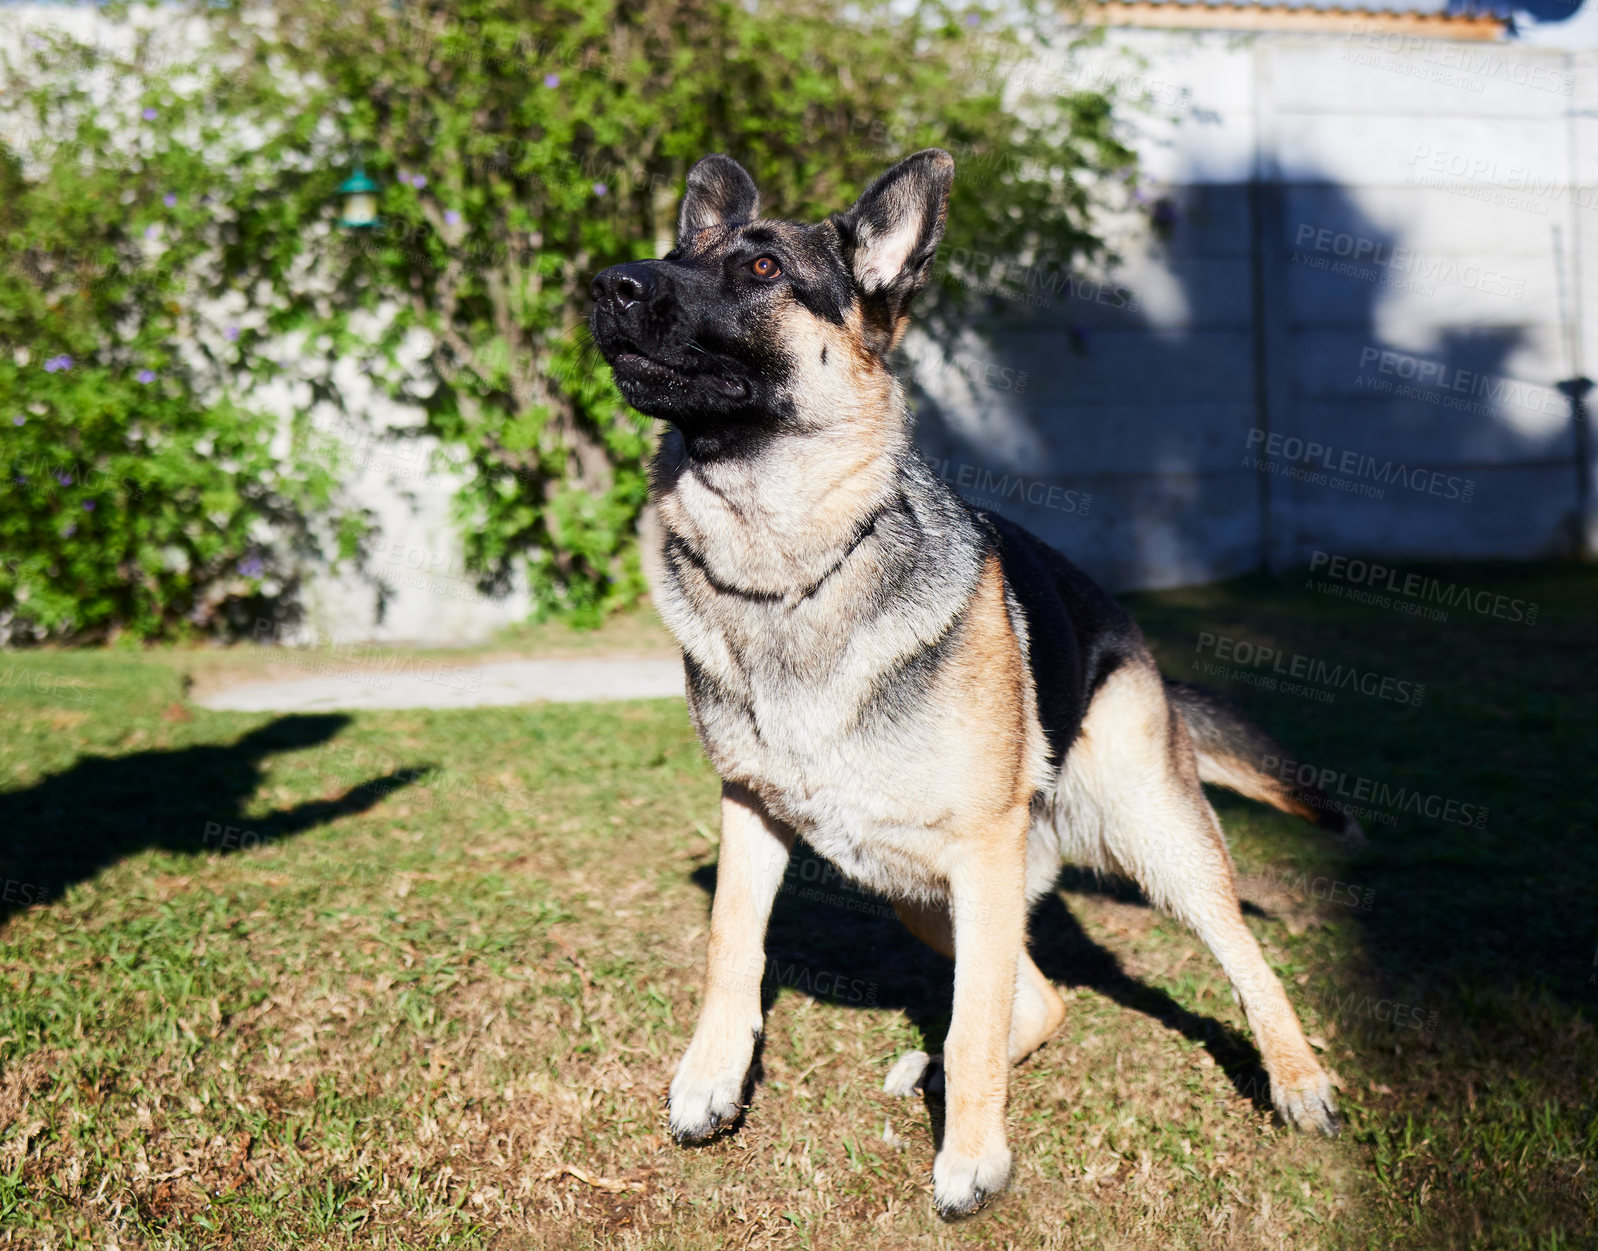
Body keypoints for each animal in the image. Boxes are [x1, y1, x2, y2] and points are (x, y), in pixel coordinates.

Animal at [588, 151, 1348, 1220]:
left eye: (764, 269)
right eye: (675, 251)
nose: (608, 284)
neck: (789, 567)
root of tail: (1129, 632)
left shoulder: (981, 849)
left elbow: (973, 1017)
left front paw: (974, 1158)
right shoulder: (752, 808)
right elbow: (732, 943)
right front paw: (711, 1078)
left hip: (1150, 841)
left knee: (1235, 958)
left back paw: (1297, 1077)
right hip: (916, 887)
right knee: (1043, 996)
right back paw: (937, 1073)